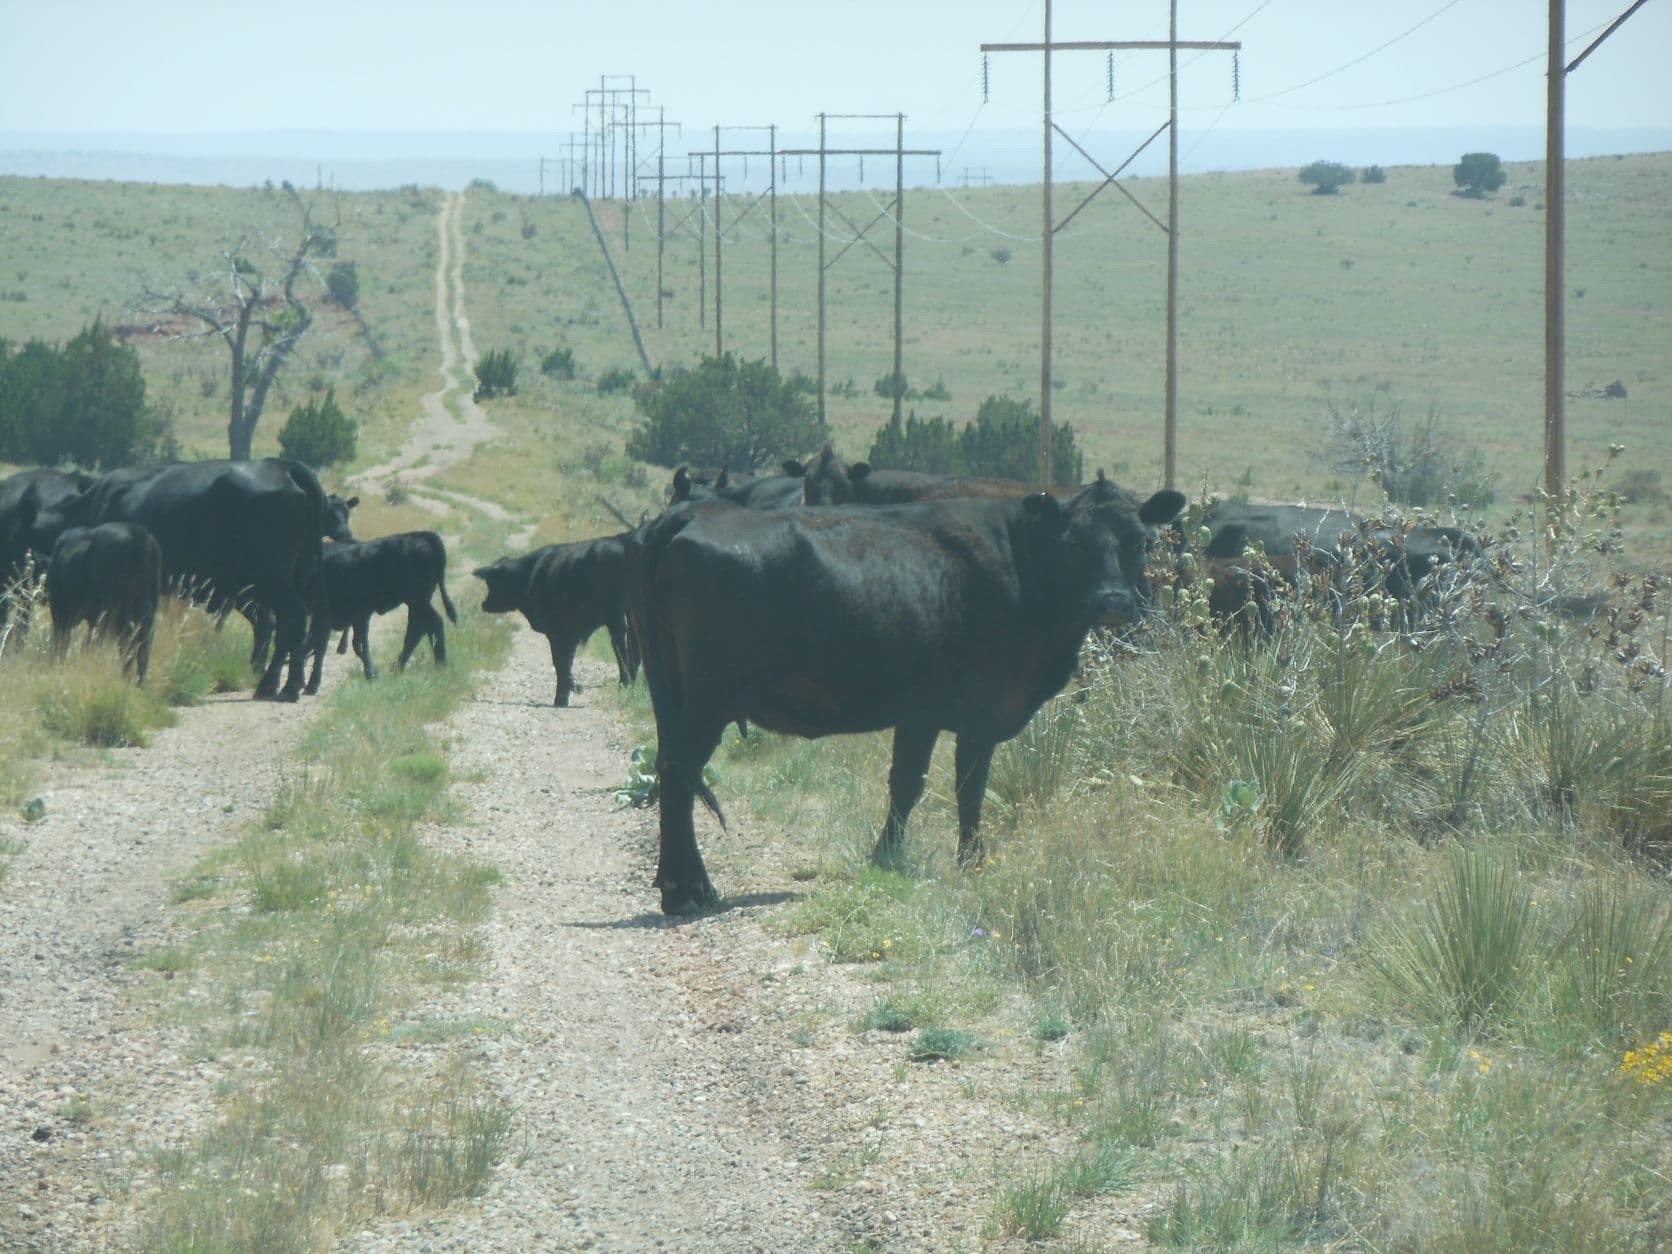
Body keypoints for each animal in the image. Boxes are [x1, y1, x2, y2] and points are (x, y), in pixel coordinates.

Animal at [303, 530, 458, 693]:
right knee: (423, 627)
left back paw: (432, 663)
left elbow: (344, 644)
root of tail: (422, 535)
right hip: (416, 603)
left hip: (417, 601)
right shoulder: (346, 617)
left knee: (426, 626)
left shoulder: (344, 615)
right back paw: (418, 664)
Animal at [473, 533, 639, 707]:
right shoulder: (569, 634)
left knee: (621, 646)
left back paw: (624, 685)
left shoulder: (559, 632)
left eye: (493, 583)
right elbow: (564, 663)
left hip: (616, 615)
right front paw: (565, 695)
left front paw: (565, 695)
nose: (484, 604)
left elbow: (560, 663)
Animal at [626, 476, 1188, 914]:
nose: (1112, 601)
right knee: (679, 772)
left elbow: (905, 784)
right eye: (1075, 543)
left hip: (674, 698)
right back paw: (687, 890)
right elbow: (966, 788)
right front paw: (972, 862)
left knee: (670, 768)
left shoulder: (921, 714)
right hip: (707, 701)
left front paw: (887, 857)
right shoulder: (978, 714)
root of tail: (691, 513)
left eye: (1139, 540)